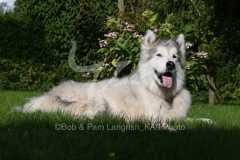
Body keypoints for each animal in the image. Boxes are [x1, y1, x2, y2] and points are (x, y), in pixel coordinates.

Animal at [17, 29, 193, 125]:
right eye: (159, 55)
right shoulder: (149, 116)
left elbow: (197, 120)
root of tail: (45, 97)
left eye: (175, 57)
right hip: (97, 102)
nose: (170, 64)